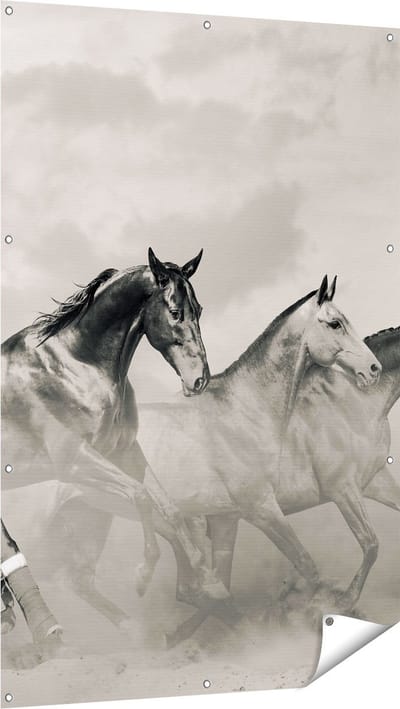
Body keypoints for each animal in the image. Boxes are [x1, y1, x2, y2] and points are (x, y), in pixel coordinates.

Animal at [1, 247, 225, 666]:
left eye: (199, 309)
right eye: (175, 311)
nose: (199, 380)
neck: (76, 364)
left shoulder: (124, 452)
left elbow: (170, 510)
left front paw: (207, 581)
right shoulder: (75, 461)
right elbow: (141, 496)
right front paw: (143, 573)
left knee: (77, 575)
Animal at [39, 275, 382, 640]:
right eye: (335, 323)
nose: (373, 369)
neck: (244, 409)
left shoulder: (226, 518)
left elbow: (220, 581)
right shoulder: (261, 508)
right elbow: (306, 564)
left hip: (92, 516)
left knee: (81, 579)